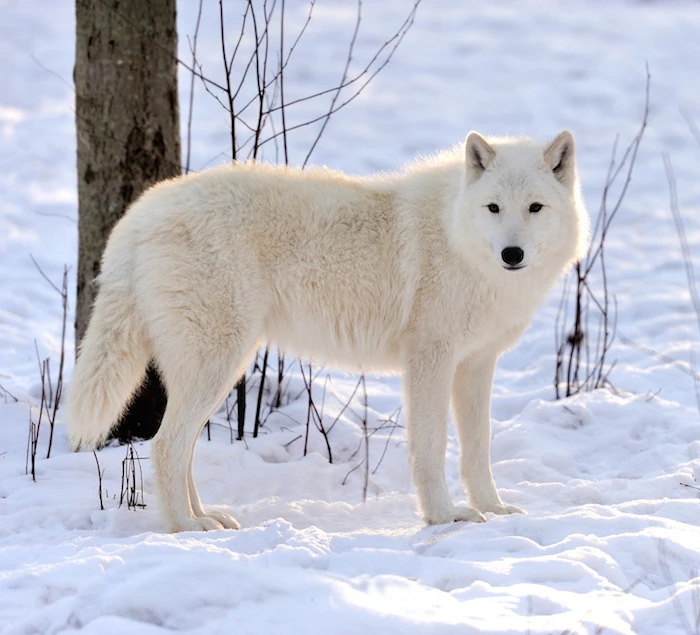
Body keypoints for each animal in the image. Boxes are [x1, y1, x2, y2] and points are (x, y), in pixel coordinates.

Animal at [66, 131, 589, 532]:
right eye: (494, 208)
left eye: (535, 208)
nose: (512, 254)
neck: (456, 236)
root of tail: (138, 217)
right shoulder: (430, 359)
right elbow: (431, 447)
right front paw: (443, 518)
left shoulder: (477, 364)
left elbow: (478, 449)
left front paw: (492, 509)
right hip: (219, 364)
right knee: (165, 445)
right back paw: (186, 528)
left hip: (214, 370)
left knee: (181, 449)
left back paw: (206, 517)